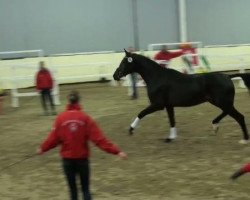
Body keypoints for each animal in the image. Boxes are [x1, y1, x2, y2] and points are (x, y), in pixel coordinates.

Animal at [113, 50, 250, 144]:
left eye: (124, 62)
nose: (115, 75)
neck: (157, 77)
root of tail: (228, 76)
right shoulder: (169, 105)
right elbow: (172, 121)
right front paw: (170, 138)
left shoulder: (158, 105)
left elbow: (141, 113)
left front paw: (131, 129)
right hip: (220, 102)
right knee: (235, 115)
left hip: (222, 102)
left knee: (237, 116)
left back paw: (222, 128)